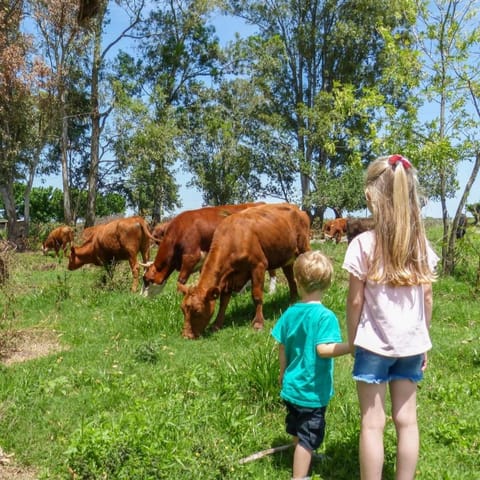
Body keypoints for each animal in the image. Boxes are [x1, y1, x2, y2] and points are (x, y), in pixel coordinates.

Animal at [178, 204, 310, 340]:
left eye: (197, 311)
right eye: (182, 309)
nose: (186, 336)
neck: (233, 238)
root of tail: (297, 209)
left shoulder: (258, 266)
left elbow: (256, 295)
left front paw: (258, 323)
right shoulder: (228, 277)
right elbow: (223, 302)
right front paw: (216, 324)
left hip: (304, 247)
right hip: (286, 258)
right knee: (291, 280)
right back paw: (292, 302)